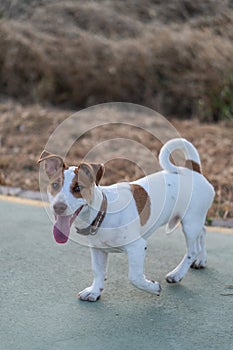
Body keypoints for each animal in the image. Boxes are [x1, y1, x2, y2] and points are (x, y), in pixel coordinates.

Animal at [37, 138, 215, 302]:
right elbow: (98, 271)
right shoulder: (98, 251)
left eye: (78, 188)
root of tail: (194, 171)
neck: (104, 212)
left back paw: (178, 273)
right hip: (195, 220)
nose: (58, 207)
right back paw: (201, 259)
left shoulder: (138, 247)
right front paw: (94, 291)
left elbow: (134, 277)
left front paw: (152, 287)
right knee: (203, 232)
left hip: (190, 223)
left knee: (192, 249)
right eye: (55, 185)